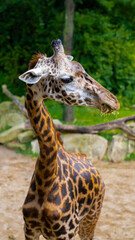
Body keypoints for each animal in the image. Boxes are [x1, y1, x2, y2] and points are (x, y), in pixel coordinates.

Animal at [18, 38, 119, 239]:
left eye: (82, 68)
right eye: (66, 78)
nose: (114, 101)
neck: (46, 178)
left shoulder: (66, 232)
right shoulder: (30, 229)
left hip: (90, 219)